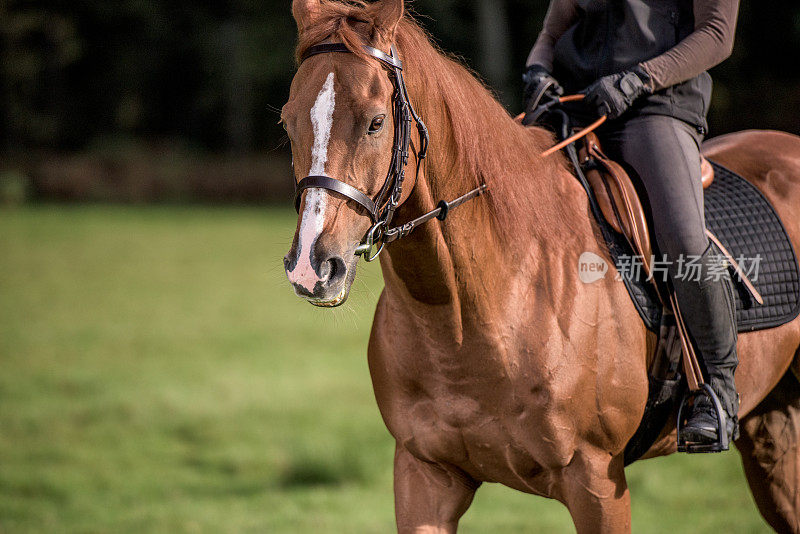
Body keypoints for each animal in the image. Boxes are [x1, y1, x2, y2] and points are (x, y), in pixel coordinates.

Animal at [280, 2, 800, 532]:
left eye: (376, 123)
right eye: (288, 123)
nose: (311, 268)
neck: (471, 311)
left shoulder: (597, 482)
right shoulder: (423, 475)